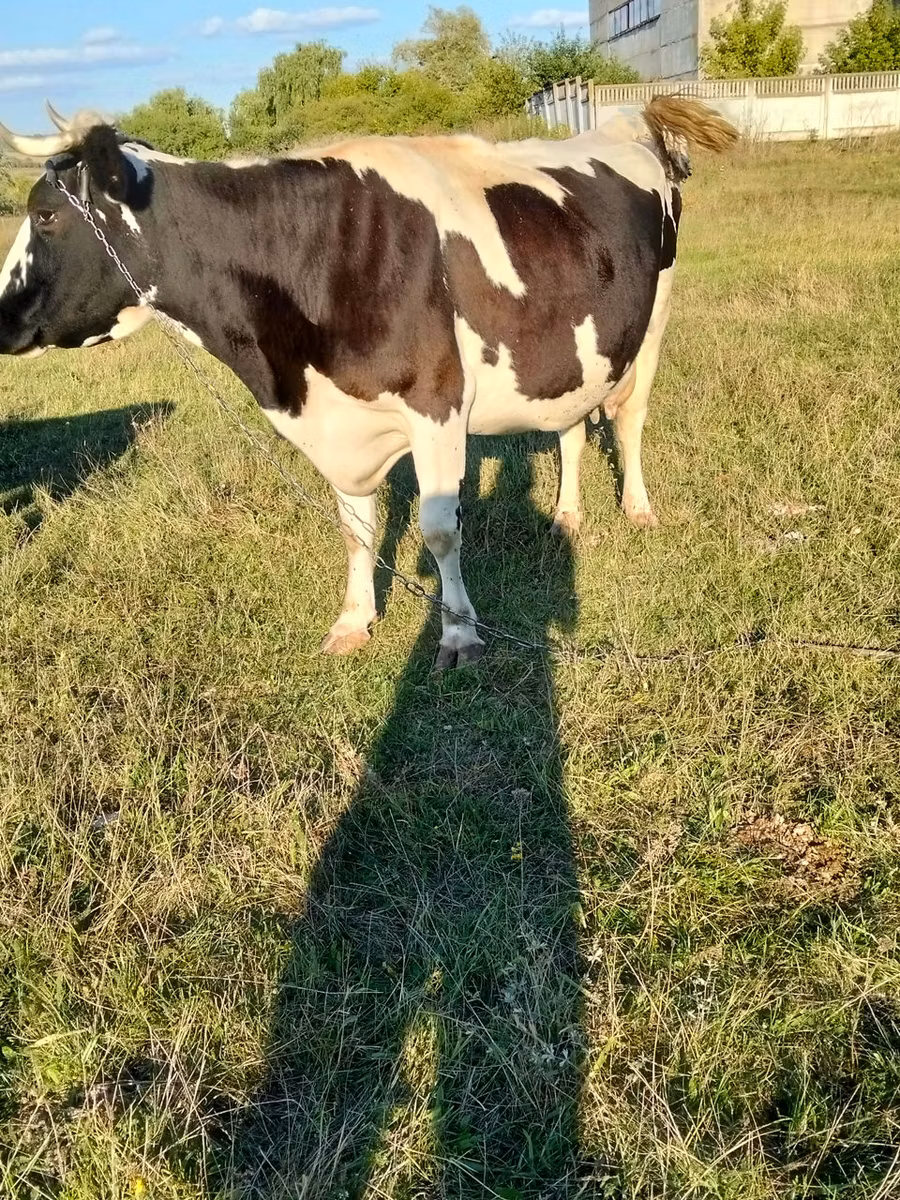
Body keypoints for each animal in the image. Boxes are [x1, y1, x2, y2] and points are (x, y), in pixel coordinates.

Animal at [0, 99, 737, 667]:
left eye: (46, 216)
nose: (1, 316)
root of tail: (626, 122)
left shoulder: (438, 402)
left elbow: (440, 532)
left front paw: (460, 634)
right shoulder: (341, 422)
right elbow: (356, 530)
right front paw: (354, 622)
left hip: (651, 327)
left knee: (629, 419)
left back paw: (636, 507)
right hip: (575, 352)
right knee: (573, 428)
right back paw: (566, 515)